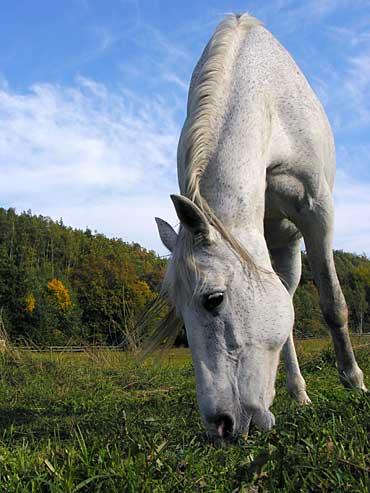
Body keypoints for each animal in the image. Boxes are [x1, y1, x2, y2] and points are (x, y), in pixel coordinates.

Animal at [154, 12, 368, 438]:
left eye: (214, 299)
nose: (220, 425)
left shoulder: (318, 211)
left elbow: (333, 304)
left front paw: (354, 381)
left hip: (289, 247)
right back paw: (297, 391)